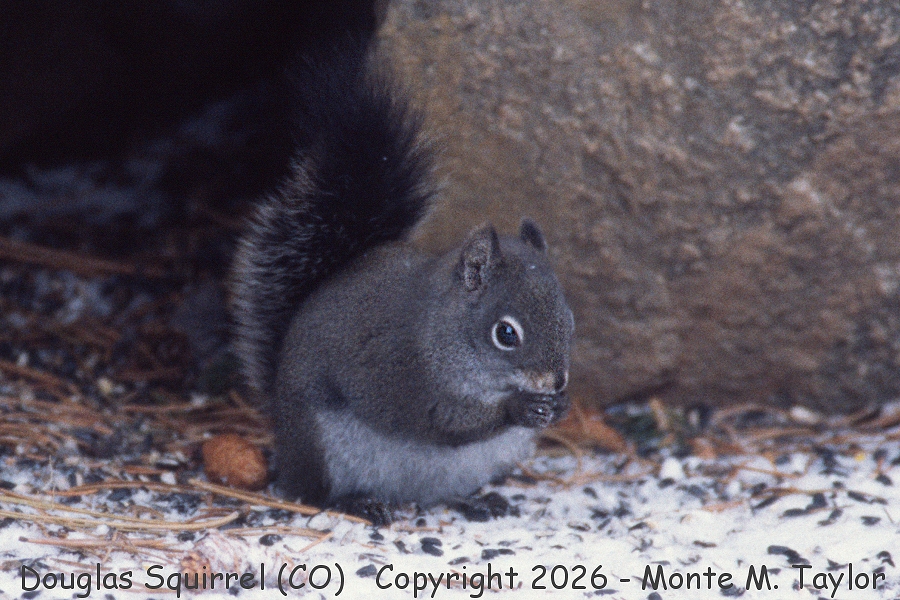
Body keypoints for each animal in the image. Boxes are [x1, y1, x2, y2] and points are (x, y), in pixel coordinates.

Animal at [231, 37, 574, 521]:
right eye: (506, 333)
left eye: (569, 317)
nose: (556, 382)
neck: (445, 330)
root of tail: (284, 438)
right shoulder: (404, 374)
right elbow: (442, 423)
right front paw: (520, 407)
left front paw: (557, 406)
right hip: (326, 449)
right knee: (317, 494)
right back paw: (359, 503)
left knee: (441, 493)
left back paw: (478, 500)